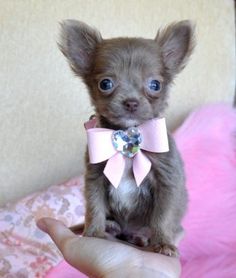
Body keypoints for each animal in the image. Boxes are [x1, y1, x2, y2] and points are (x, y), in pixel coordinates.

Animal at [58, 20, 194, 258]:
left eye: (155, 85)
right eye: (105, 84)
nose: (131, 102)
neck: (128, 139)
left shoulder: (167, 182)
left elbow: (163, 216)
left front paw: (163, 243)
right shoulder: (95, 177)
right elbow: (94, 206)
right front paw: (93, 233)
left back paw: (142, 237)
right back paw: (111, 226)